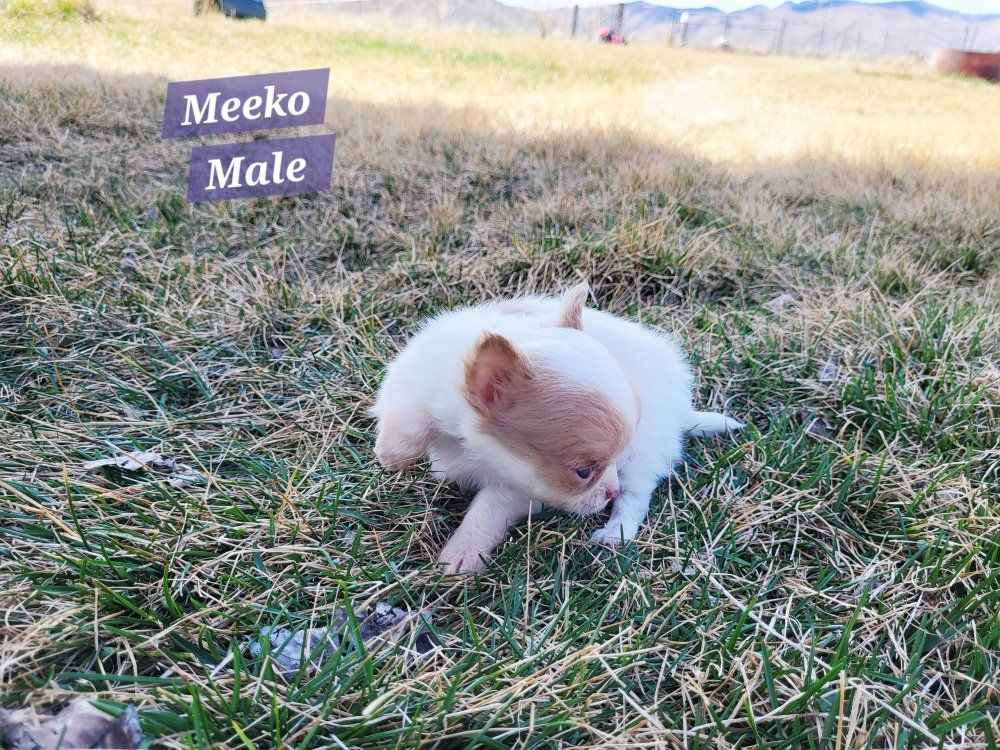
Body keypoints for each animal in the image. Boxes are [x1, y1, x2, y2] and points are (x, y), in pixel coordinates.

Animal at [371, 282, 744, 573]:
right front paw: (393, 452)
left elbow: (486, 513)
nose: (609, 491)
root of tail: (682, 409)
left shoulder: (516, 488)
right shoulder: (419, 367)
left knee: (637, 494)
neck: (469, 442)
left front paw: (462, 553)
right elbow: (408, 407)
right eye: (583, 472)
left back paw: (615, 532)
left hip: (645, 452)